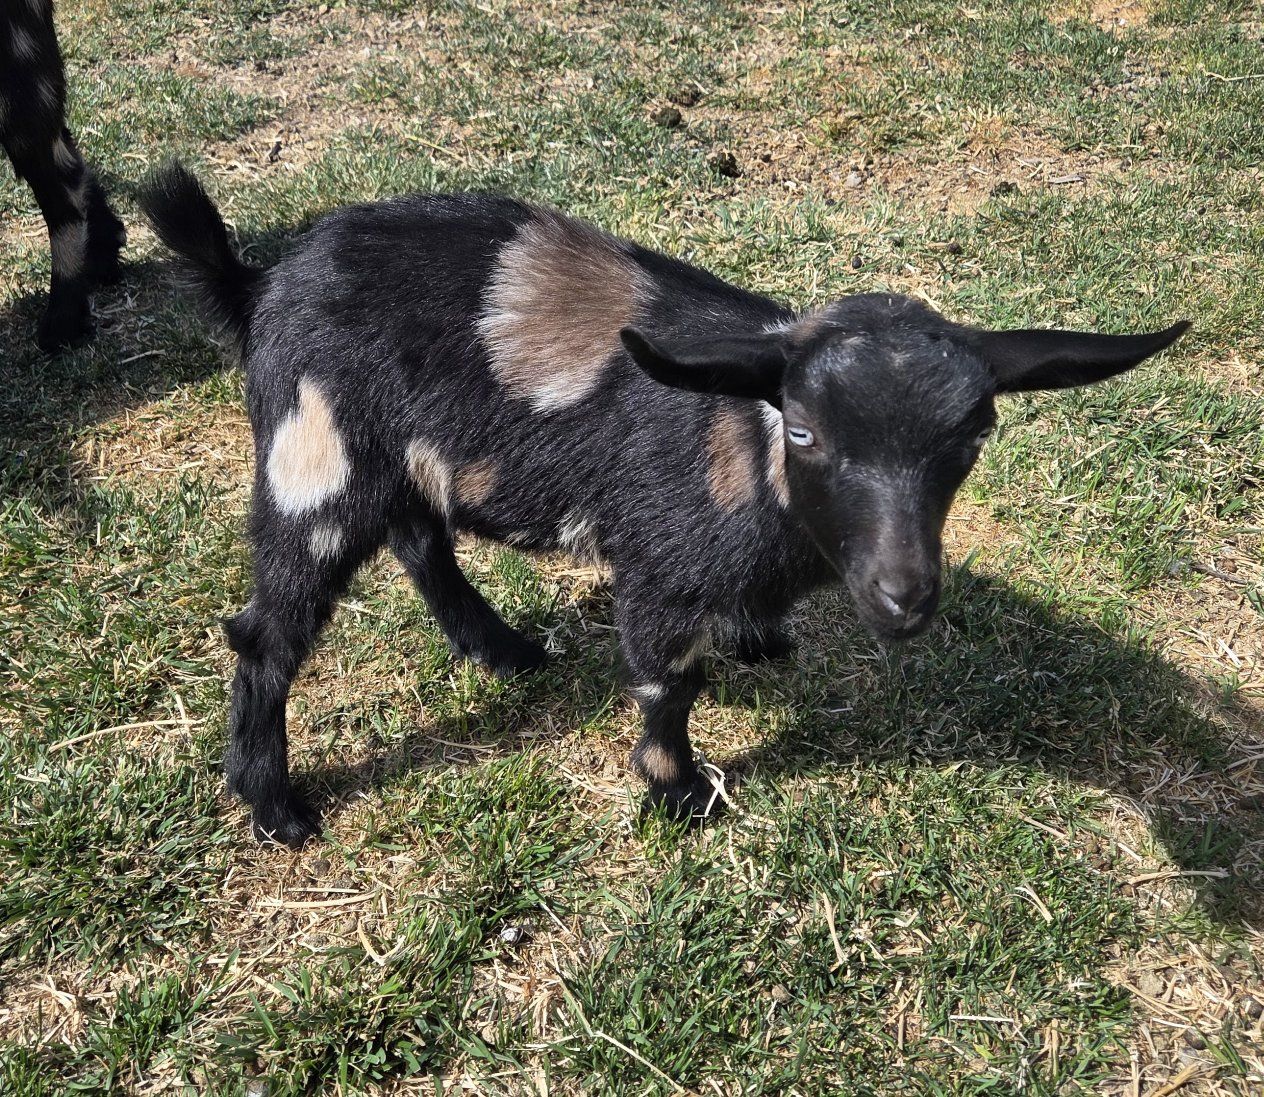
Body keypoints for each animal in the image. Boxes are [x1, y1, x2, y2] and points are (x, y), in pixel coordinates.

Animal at [140, 161, 1188, 847]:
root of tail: (258, 283)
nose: (904, 598)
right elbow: (664, 684)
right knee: (269, 632)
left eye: (973, 438)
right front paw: (677, 790)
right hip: (314, 458)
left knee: (421, 540)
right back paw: (273, 804)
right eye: (804, 431)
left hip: (396, 456)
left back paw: (502, 648)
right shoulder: (655, 566)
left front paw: (760, 641)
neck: (750, 460)